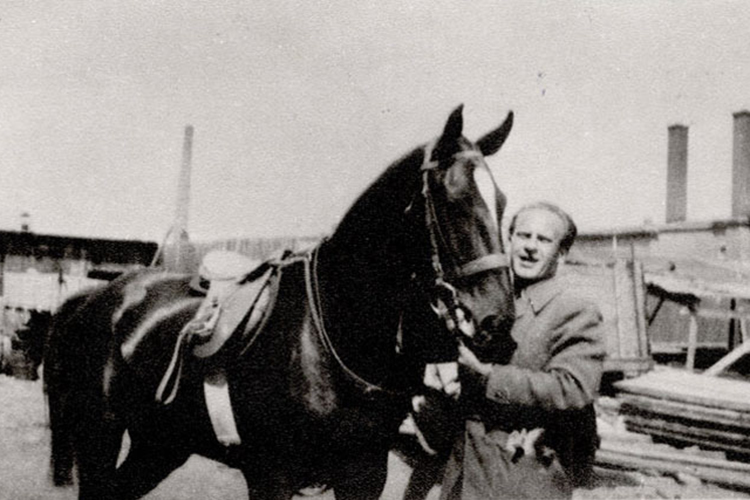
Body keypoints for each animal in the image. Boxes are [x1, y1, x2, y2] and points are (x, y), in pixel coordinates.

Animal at [43, 104, 516, 500]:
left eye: (502, 203)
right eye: (452, 199)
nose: (497, 321)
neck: (333, 331)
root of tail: (95, 299)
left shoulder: (364, 472)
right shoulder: (272, 475)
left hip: (160, 445)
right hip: (100, 434)